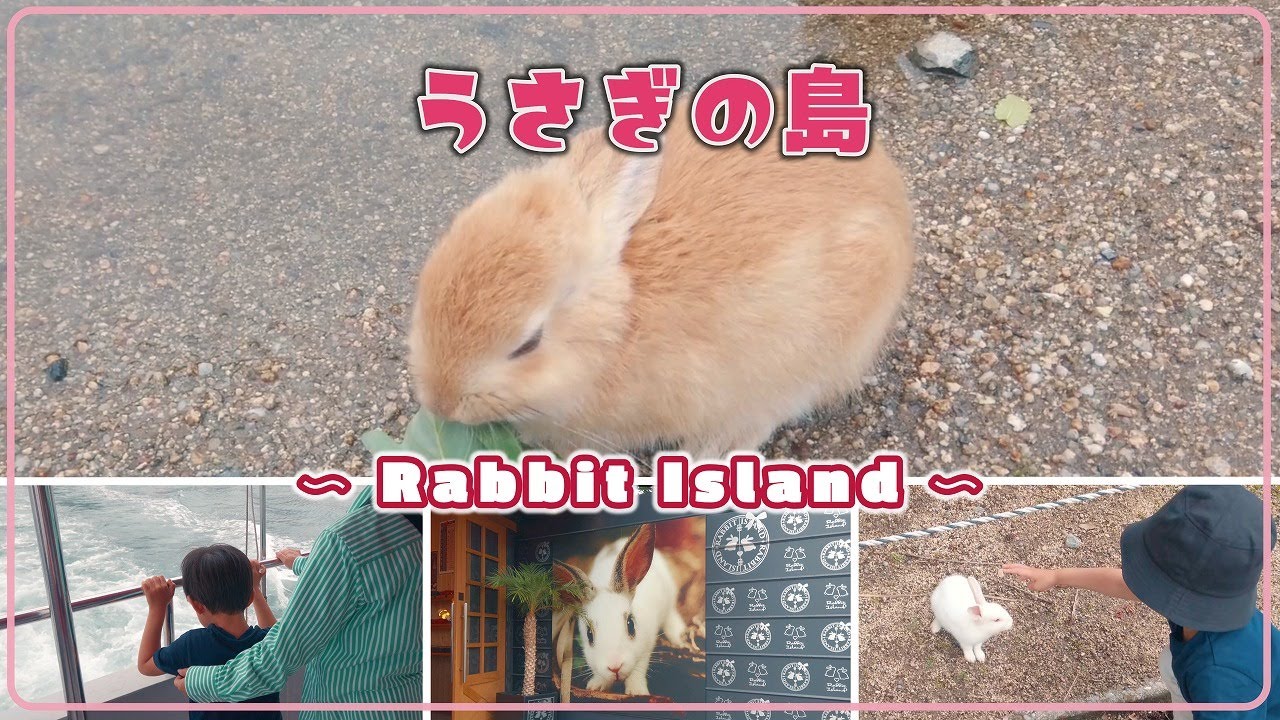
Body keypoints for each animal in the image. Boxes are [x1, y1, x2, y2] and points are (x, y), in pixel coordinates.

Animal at [552, 523, 692, 696]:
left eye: (631, 625)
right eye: (589, 635)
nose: (615, 667)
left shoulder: (646, 646)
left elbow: (639, 668)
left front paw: (637, 691)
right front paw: (596, 685)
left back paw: (678, 637)